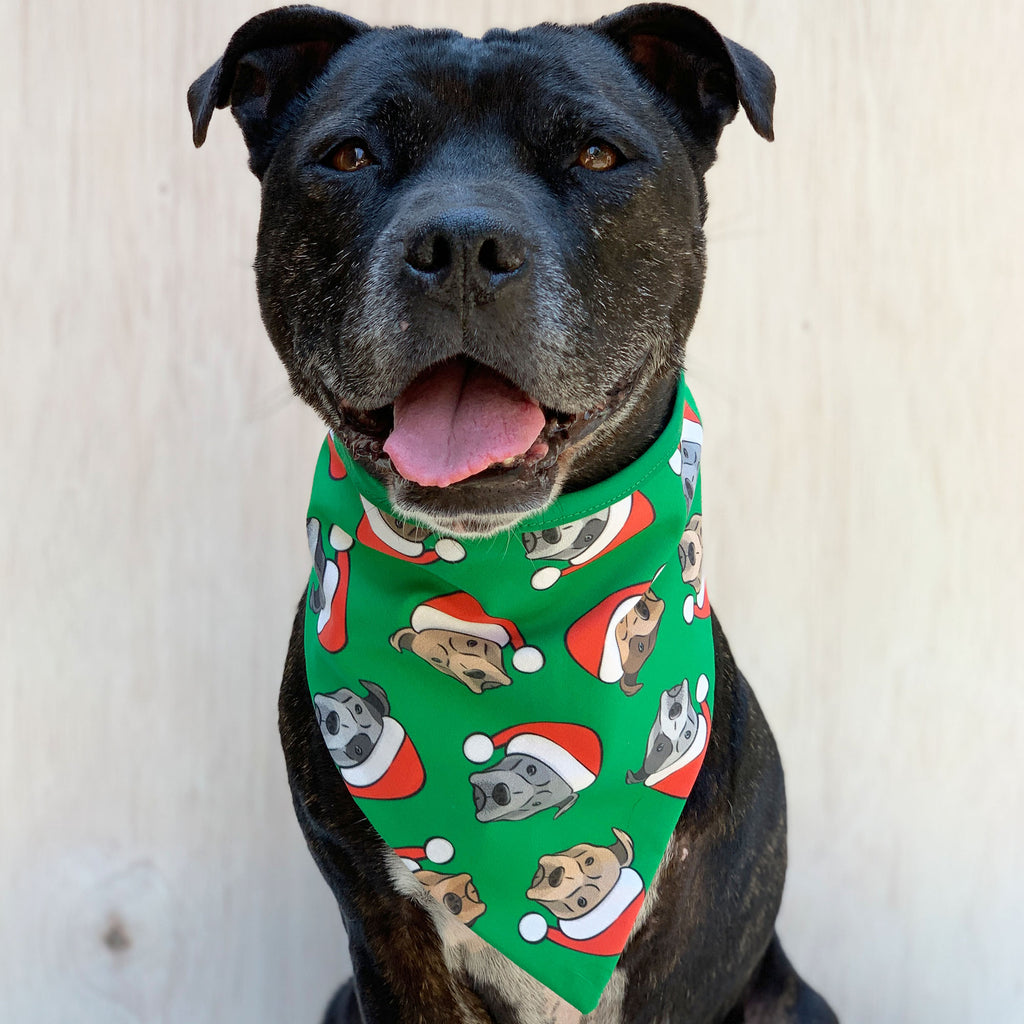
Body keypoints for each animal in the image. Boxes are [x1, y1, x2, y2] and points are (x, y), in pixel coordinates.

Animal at [188, 4, 835, 1019]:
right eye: (350, 155)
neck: (505, 577)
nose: (459, 246)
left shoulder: (692, 944)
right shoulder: (383, 934)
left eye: (599, 154)